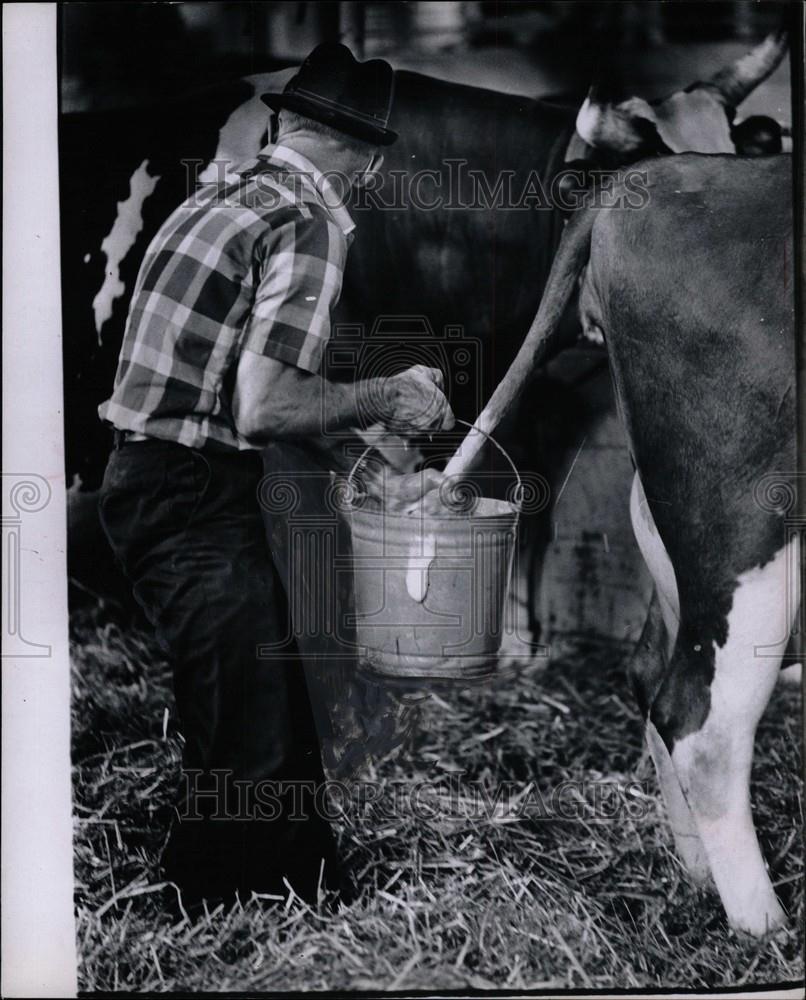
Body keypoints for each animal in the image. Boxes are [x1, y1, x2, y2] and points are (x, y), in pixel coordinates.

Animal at [482, 150, 800, 936]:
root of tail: (644, 174)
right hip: (749, 526)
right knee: (700, 722)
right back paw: (767, 930)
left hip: (670, 541)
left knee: (653, 678)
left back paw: (697, 879)